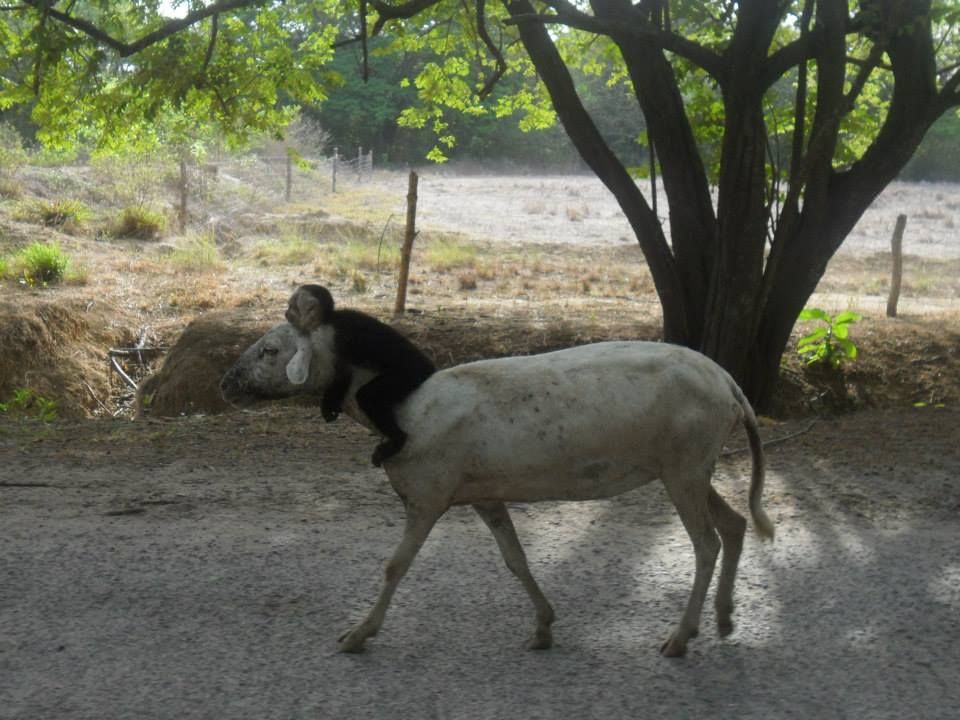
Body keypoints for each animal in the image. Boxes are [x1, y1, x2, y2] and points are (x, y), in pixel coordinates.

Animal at [219, 326, 772, 660]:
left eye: (270, 350)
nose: (226, 382)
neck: (403, 409)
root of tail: (731, 386)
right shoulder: (483, 495)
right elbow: (515, 560)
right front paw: (543, 626)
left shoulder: (427, 493)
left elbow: (396, 566)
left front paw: (357, 634)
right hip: (690, 466)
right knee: (735, 524)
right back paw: (724, 619)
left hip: (685, 461)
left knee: (707, 543)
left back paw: (679, 638)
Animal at [284, 284, 436, 464]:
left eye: (292, 307)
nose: (285, 313)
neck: (327, 319)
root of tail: (428, 368)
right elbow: (344, 372)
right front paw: (330, 403)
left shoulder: (325, 338)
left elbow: (341, 373)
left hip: (408, 374)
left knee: (368, 396)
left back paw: (397, 439)